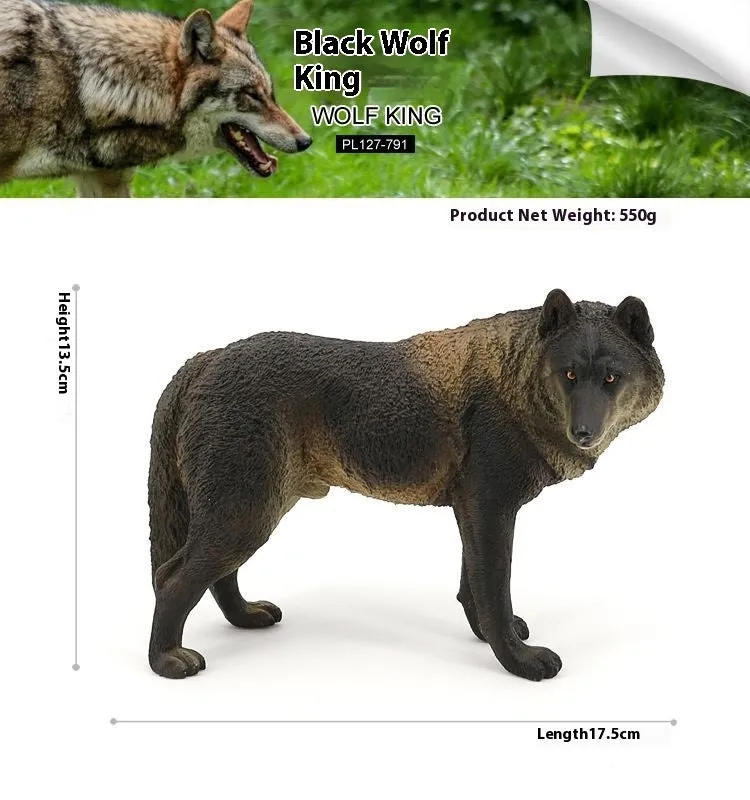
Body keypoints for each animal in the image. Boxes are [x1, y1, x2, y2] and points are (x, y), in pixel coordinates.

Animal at [148, 290, 664, 681]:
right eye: (569, 374)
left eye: (611, 378)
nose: (584, 433)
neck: (515, 379)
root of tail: (208, 357)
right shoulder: (490, 506)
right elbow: (494, 591)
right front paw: (518, 660)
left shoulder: (474, 510)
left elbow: (473, 589)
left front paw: (489, 637)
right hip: (246, 512)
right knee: (172, 578)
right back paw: (167, 661)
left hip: (251, 508)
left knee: (216, 576)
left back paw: (246, 617)